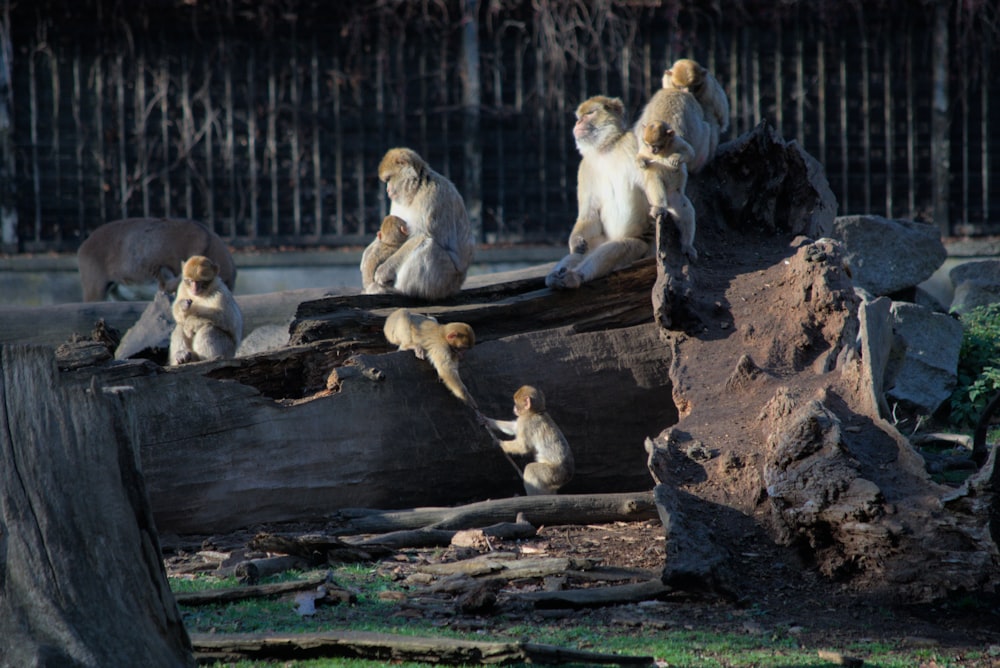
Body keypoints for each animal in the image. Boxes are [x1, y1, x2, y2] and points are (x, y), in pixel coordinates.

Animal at [372, 150, 476, 302]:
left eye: (389, 179)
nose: (388, 190)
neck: (417, 189)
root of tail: (457, 286)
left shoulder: (432, 195)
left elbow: (420, 235)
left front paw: (383, 271)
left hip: (446, 279)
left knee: (428, 246)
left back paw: (402, 291)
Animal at [544, 96, 652, 290]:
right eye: (579, 116)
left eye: (589, 113)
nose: (578, 122)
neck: (605, 149)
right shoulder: (584, 167)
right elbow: (589, 215)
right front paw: (575, 241)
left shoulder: (632, 144)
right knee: (581, 254)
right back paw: (556, 277)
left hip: (643, 249)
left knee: (619, 247)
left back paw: (574, 276)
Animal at [636, 121, 700, 262]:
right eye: (648, 144)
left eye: (655, 145)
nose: (652, 150)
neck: (663, 151)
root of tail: (668, 203)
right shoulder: (645, 150)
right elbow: (641, 158)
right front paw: (641, 162)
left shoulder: (676, 141)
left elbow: (690, 152)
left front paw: (675, 158)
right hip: (660, 196)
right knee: (654, 173)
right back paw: (659, 206)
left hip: (674, 197)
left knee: (685, 209)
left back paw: (687, 245)